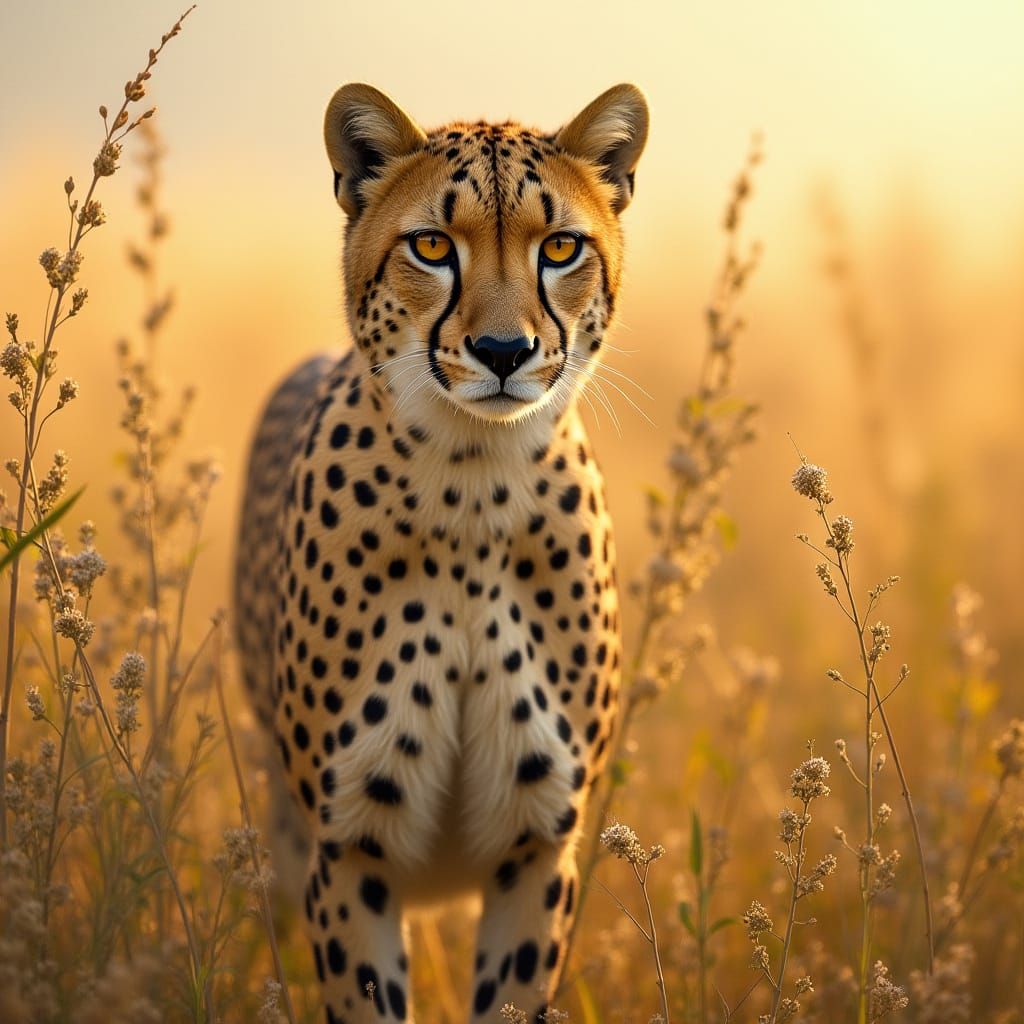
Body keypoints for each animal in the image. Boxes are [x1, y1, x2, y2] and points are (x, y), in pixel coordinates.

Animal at [234, 81, 648, 1023]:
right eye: (431, 245)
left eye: (560, 247)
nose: (502, 352)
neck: (472, 486)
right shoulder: (349, 845)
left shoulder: (537, 844)